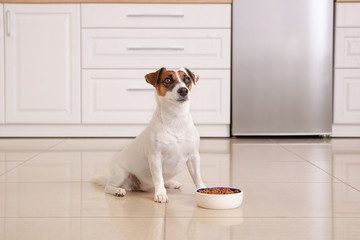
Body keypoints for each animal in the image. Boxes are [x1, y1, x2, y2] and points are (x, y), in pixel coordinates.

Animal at [93, 67, 205, 202]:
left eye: (187, 79)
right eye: (167, 80)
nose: (183, 90)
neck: (176, 118)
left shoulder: (194, 157)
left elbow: (197, 176)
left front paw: (202, 189)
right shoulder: (155, 157)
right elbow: (158, 178)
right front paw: (160, 194)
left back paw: (170, 183)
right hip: (120, 174)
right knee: (108, 187)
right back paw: (118, 190)